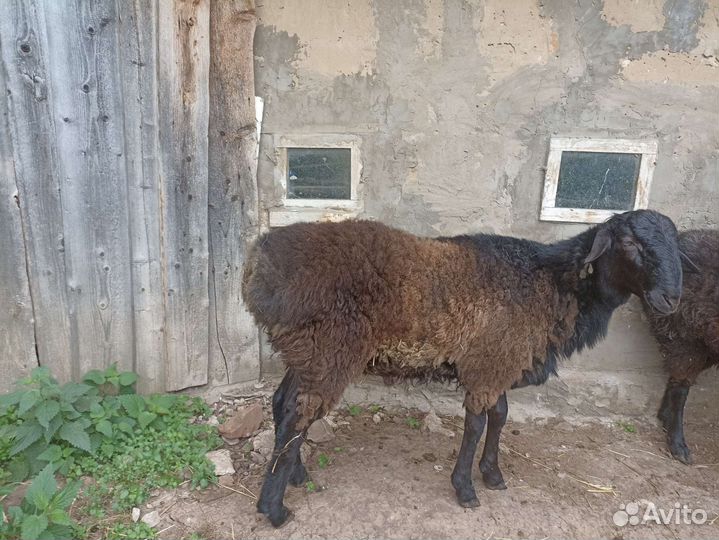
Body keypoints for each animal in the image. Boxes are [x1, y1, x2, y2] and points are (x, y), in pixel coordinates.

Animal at [241, 209, 683, 527]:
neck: (553, 281)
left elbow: (500, 416)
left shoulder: (498, 361)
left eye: (676, 245)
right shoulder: (488, 366)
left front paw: (492, 475)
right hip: (328, 351)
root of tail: (256, 267)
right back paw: (274, 509)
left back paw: (296, 476)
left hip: (307, 353)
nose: (671, 299)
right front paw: (465, 489)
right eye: (629, 242)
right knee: (296, 418)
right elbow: (475, 424)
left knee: (283, 405)